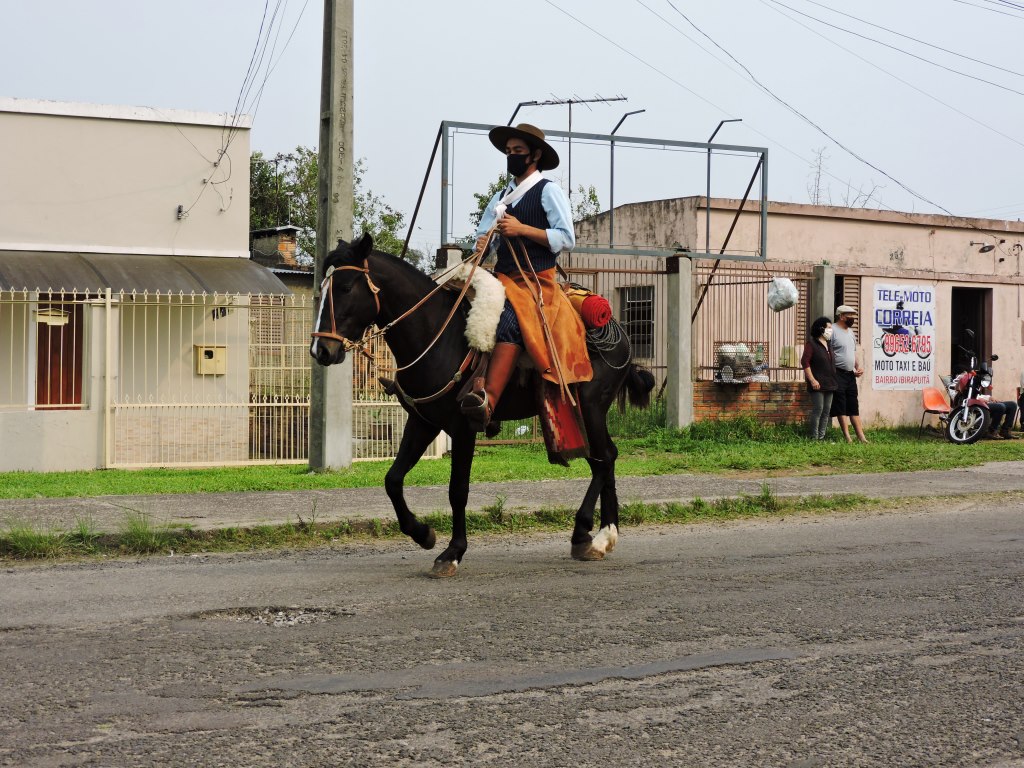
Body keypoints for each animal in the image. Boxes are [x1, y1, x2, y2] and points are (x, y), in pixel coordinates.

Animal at [307, 234, 651, 577]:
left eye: (345, 287)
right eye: (321, 290)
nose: (320, 350)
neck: (437, 334)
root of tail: (617, 330)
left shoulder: (463, 427)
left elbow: (457, 490)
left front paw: (452, 552)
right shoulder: (423, 422)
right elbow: (392, 480)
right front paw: (423, 533)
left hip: (591, 408)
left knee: (604, 460)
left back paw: (593, 533)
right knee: (604, 459)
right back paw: (598, 535)